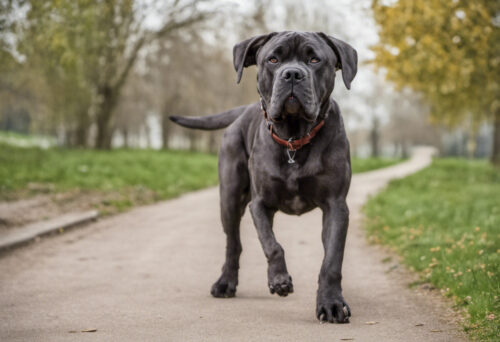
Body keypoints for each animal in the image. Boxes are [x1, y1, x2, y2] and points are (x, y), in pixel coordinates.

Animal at [170, 30, 358, 322]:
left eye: (314, 59)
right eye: (273, 59)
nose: (292, 74)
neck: (294, 138)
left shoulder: (336, 205)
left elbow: (331, 260)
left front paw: (331, 303)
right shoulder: (259, 204)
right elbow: (272, 244)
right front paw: (279, 279)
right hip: (230, 198)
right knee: (233, 244)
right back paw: (225, 282)